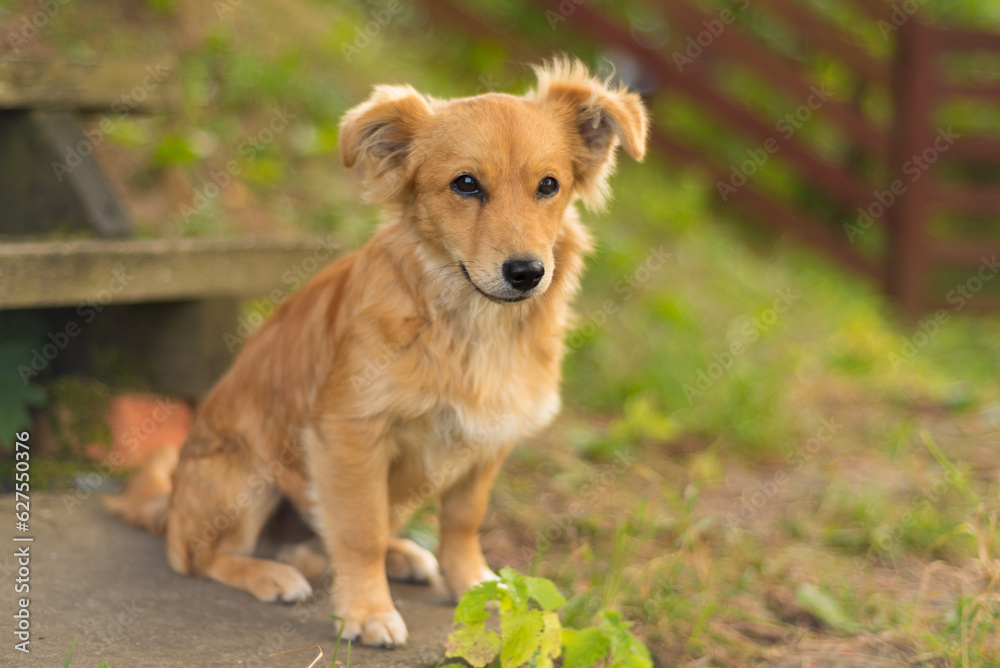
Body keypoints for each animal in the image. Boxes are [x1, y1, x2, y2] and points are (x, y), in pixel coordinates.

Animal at [109, 56, 652, 648]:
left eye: (549, 185)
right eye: (466, 185)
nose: (527, 272)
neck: (467, 325)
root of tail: (170, 504)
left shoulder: (489, 435)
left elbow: (463, 521)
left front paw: (473, 582)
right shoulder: (350, 433)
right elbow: (359, 530)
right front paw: (368, 611)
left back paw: (391, 556)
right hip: (242, 475)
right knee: (199, 556)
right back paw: (271, 573)